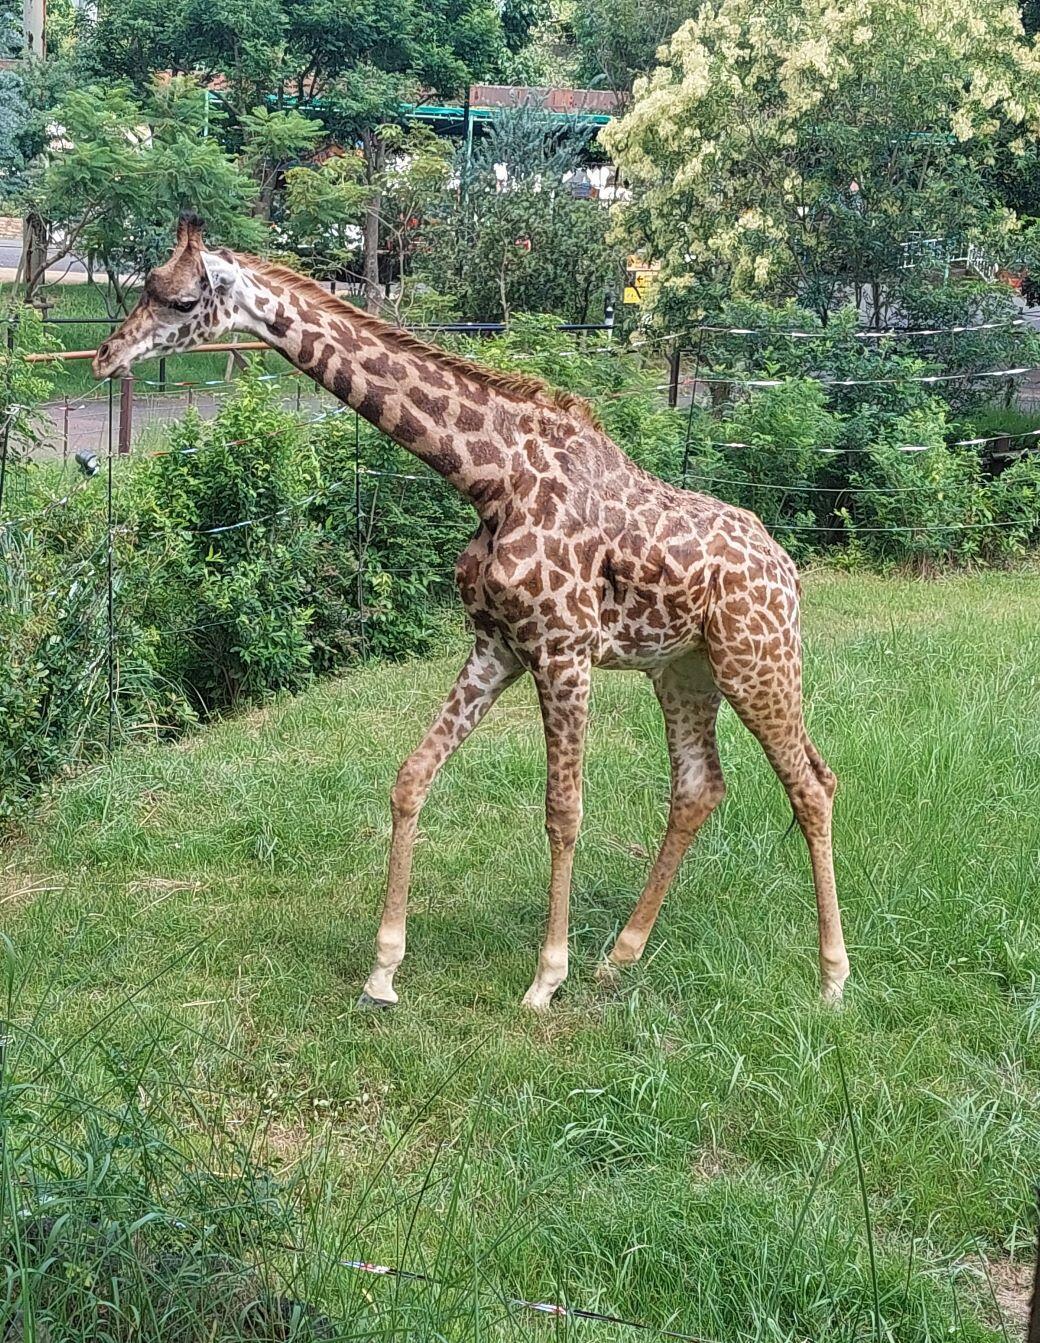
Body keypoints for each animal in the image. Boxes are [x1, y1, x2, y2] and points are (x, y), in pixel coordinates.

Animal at [93, 212, 849, 1009]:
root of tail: (787, 569)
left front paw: (546, 977)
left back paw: (832, 976)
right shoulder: (497, 646)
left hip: (757, 661)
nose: (106, 356)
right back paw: (622, 954)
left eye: (180, 300)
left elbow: (563, 812)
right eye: (146, 284)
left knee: (812, 784)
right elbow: (411, 777)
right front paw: (384, 970)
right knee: (700, 789)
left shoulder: (563, 651)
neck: (489, 479)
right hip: (684, 669)